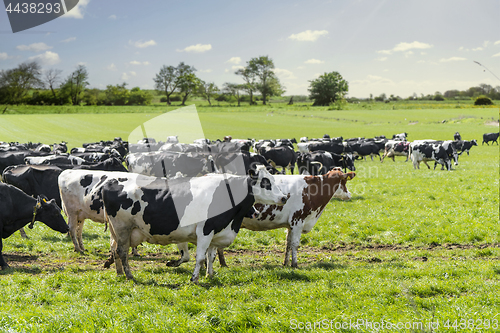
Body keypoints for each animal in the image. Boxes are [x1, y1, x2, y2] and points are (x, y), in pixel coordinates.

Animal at [103, 166, 288, 280]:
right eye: (265, 182)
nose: (284, 197)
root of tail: (112, 180)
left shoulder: (215, 232)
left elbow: (211, 256)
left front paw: (210, 275)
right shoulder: (205, 230)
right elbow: (199, 257)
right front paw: (195, 279)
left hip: (117, 231)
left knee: (115, 249)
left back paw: (119, 273)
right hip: (122, 228)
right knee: (122, 251)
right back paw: (129, 275)